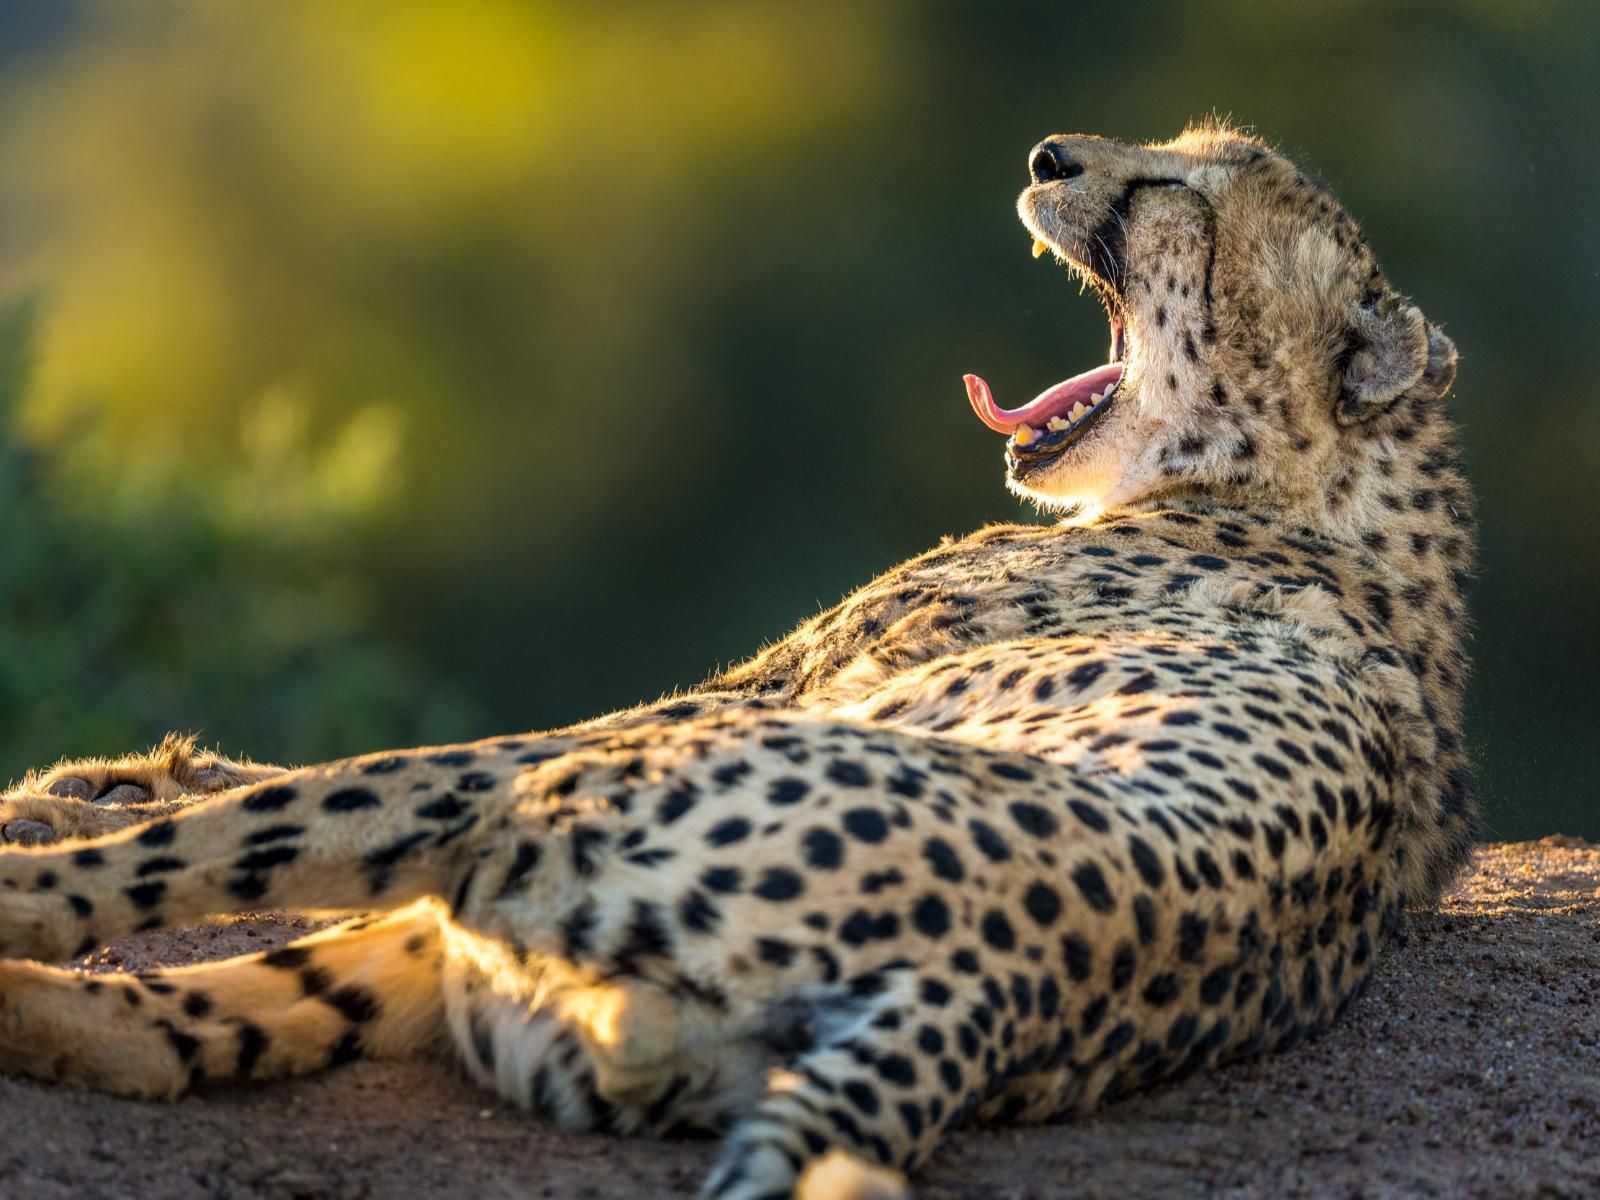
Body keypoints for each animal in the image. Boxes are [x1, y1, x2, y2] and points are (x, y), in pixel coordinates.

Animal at [0, 127, 1472, 1196]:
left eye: (1182, 193)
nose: (1050, 155)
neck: (1304, 492)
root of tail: (992, 991)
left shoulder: (725, 698)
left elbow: (244, 784)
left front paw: (82, 791)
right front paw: (100, 778)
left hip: (533, 804)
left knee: (203, 873)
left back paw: (30, 881)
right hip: (507, 973)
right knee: (167, 1039)